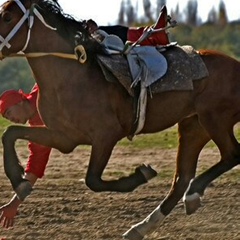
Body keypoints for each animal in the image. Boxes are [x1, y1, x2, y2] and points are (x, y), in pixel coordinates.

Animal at [0, 0, 240, 240]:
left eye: (7, 17)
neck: (71, 76)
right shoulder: (64, 137)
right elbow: (10, 134)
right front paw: (19, 184)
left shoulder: (106, 136)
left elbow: (93, 180)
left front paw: (141, 174)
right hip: (193, 126)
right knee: (182, 178)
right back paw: (143, 226)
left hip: (215, 119)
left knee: (231, 155)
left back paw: (192, 193)